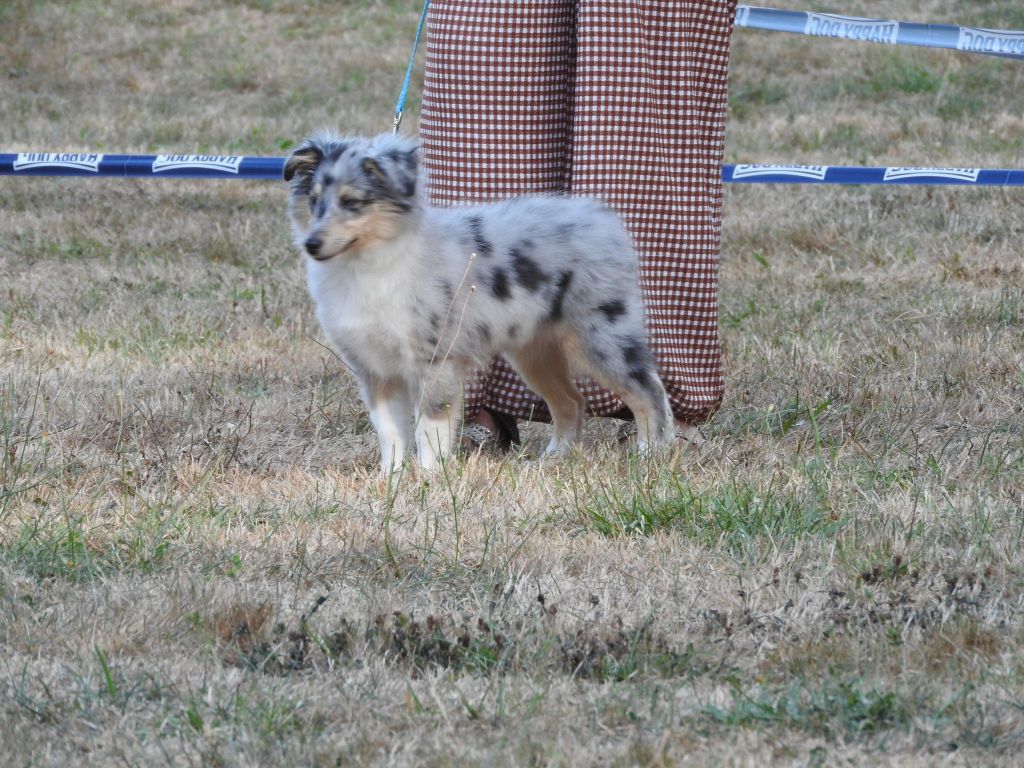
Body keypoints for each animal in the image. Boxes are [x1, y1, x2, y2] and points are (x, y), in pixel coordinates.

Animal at [284, 132, 675, 475]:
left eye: (352, 202)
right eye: (315, 200)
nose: (311, 244)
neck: (365, 266)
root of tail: (602, 216)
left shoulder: (434, 361)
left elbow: (430, 428)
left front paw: (429, 478)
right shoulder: (375, 369)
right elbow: (390, 431)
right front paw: (390, 479)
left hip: (601, 336)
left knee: (649, 389)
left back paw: (652, 453)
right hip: (534, 353)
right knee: (572, 402)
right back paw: (552, 460)